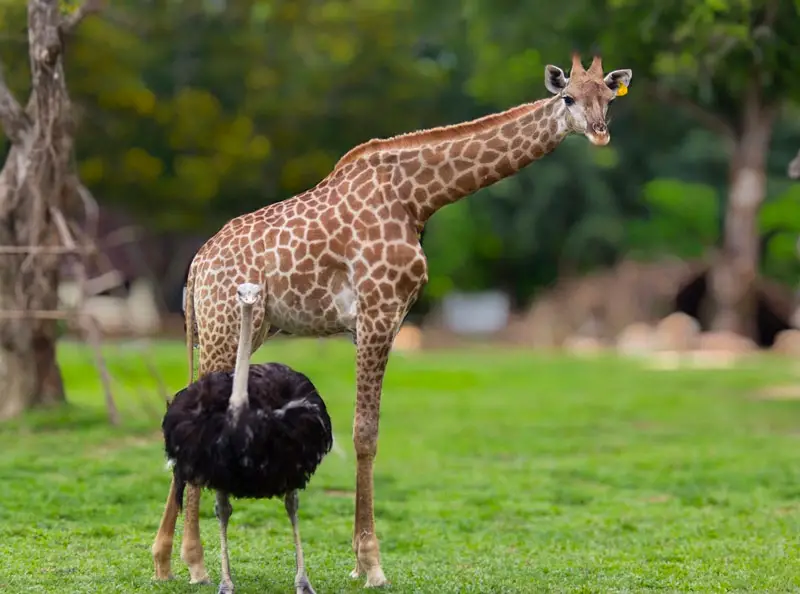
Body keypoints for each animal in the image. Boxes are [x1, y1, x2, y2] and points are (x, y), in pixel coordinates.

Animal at [153, 52, 636, 588]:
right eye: (567, 97)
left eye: (608, 97)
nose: (599, 133)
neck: (416, 197)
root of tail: (197, 266)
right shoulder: (378, 311)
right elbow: (366, 434)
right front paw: (372, 564)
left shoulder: (385, 319)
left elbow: (369, 432)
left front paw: (358, 561)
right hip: (222, 327)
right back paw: (192, 561)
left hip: (245, 330)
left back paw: (165, 558)